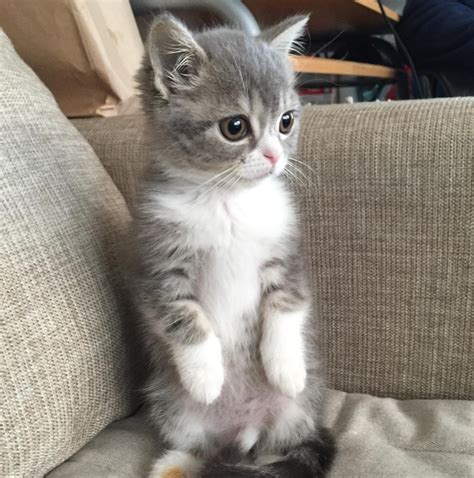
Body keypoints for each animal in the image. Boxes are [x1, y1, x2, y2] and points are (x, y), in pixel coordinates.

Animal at [131, 14, 336, 478]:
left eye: (286, 121)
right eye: (235, 127)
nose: (275, 157)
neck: (227, 201)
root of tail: (241, 432)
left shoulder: (286, 253)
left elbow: (286, 306)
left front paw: (286, 366)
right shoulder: (157, 259)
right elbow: (182, 316)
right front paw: (206, 375)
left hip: (297, 412)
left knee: (279, 450)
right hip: (171, 404)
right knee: (200, 450)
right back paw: (174, 465)